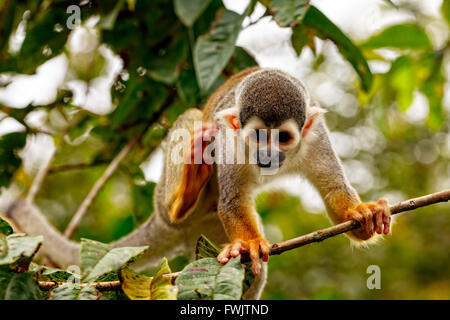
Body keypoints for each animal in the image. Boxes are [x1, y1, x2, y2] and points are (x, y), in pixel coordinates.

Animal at [4, 66, 390, 298]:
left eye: (281, 137)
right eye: (258, 136)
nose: (267, 155)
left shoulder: (317, 136)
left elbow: (334, 191)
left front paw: (362, 215)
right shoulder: (228, 138)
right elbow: (233, 201)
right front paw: (250, 245)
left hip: (207, 229)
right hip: (174, 199)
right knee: (192, 121)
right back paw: (186, 191)